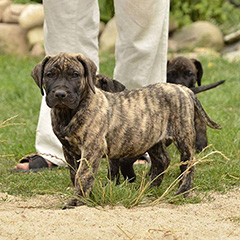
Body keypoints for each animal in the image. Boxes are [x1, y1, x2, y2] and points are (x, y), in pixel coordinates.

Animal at [31, 53, 221, 208]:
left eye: (75, 75)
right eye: (49, 75)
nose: (60, 94)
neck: (67, 112)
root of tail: (184, 89)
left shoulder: (92, 147)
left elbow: (83, 174)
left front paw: (77, 200)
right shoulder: (69, 150)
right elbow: (75, 174)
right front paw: (85, 197)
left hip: (183, 135)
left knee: (188, 163)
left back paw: (182, 192)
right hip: (153, 138)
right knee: (162, 160)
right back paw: (148, 187)